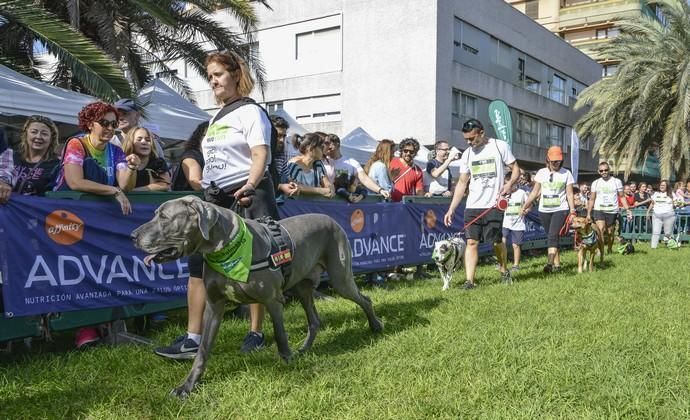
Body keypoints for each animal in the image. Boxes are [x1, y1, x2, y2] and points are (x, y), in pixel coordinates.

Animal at [130, 195, 382, 396]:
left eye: (164, 217)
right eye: (156, 214)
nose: (133, 235)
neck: (227, 250)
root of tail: (330, 219)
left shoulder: (272, 300)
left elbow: (280, 336)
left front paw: (288, 364)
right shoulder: (214, 306)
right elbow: (202, 351)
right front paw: (187, 386)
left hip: (340, 279)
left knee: (365, 299)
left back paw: (376, 326)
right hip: (302, 287)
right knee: (314, 320)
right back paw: (304, 349)